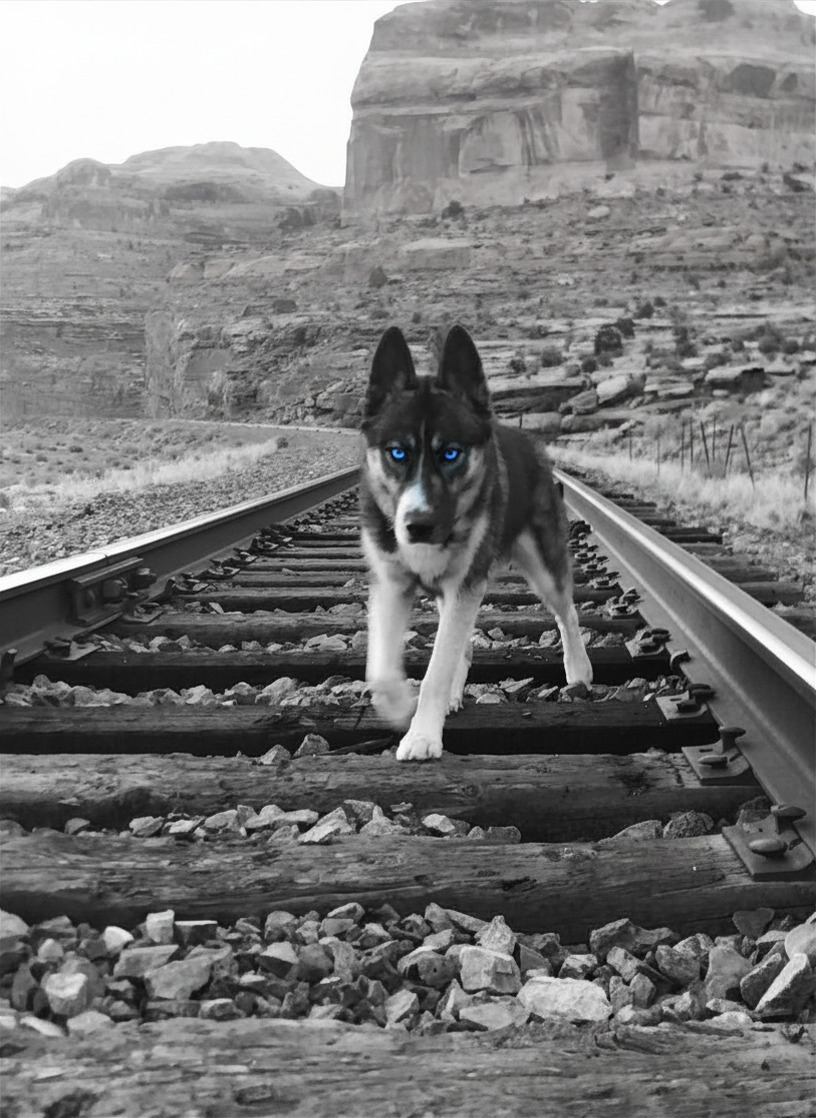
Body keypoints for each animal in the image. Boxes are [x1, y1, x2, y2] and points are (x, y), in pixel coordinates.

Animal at [359, 324, 592, 762]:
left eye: (451, 453)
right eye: (397, 452)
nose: (418, 525)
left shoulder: (464, 582)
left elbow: (436, 669)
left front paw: (422, 735)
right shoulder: (392, 582)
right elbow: (382, 671)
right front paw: (398, 704)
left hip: (541, 563)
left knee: (566, 612)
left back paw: (579, 669)